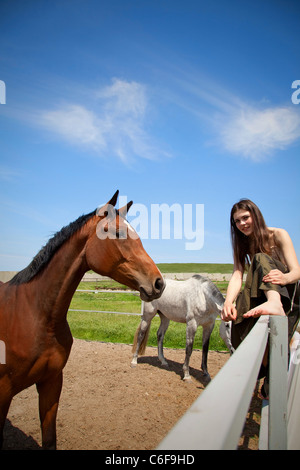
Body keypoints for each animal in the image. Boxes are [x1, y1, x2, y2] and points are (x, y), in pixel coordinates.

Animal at [0, 191, 164, 448]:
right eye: (117, 233)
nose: (159, 283)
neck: (37, 315)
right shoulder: (3, 393)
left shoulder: (51, 382)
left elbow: (50, 439)